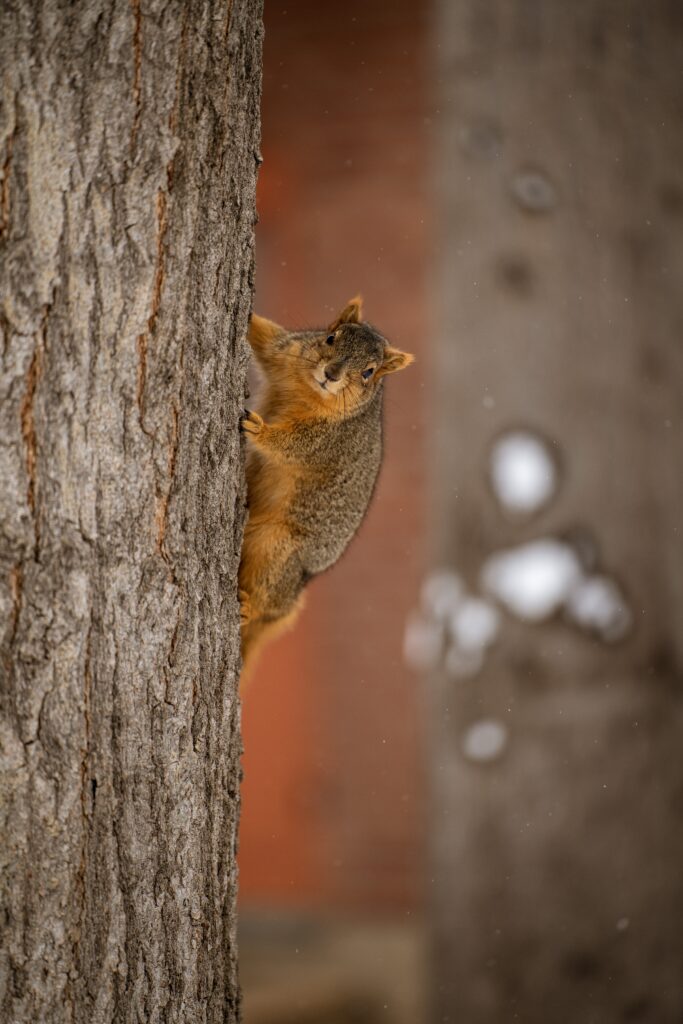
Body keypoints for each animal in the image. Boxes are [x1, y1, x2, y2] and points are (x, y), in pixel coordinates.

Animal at [238, 296, 414, 681]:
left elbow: (293, 445)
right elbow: (264, 337)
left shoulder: (327, 441)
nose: (331, 374)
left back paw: (247, 605)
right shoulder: (286, 352)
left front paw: (260, 431)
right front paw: (248, 316)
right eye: (330, 338)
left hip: (277, 549)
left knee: (269, 601)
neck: (308, 391)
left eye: (369, 372)